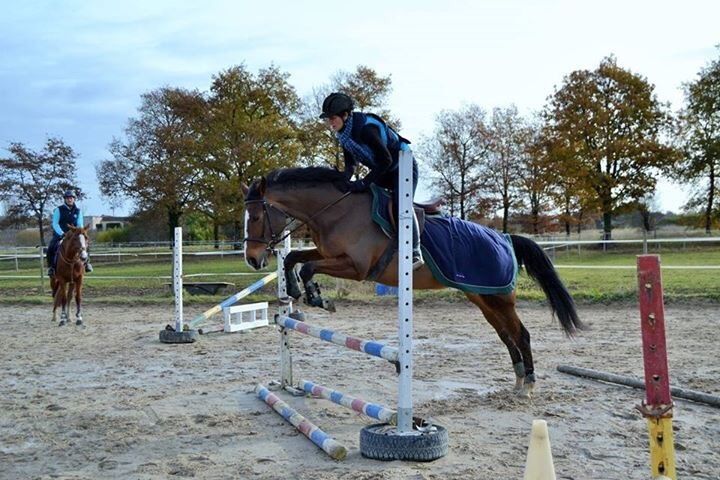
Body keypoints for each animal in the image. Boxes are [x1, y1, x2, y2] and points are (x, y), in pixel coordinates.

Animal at [242, 167, 584, 398]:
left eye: (256, 217)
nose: (253, 259)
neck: (335, 211)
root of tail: (505, 237)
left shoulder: (357, 267)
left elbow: (309, 267)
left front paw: (316, 297)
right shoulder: (329, 254)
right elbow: (293, 258)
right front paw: (296, 292)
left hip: (499, 298)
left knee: (521, 334)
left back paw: (529, 386)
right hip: (483, 298)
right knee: (505, 335)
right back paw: (518, 380)